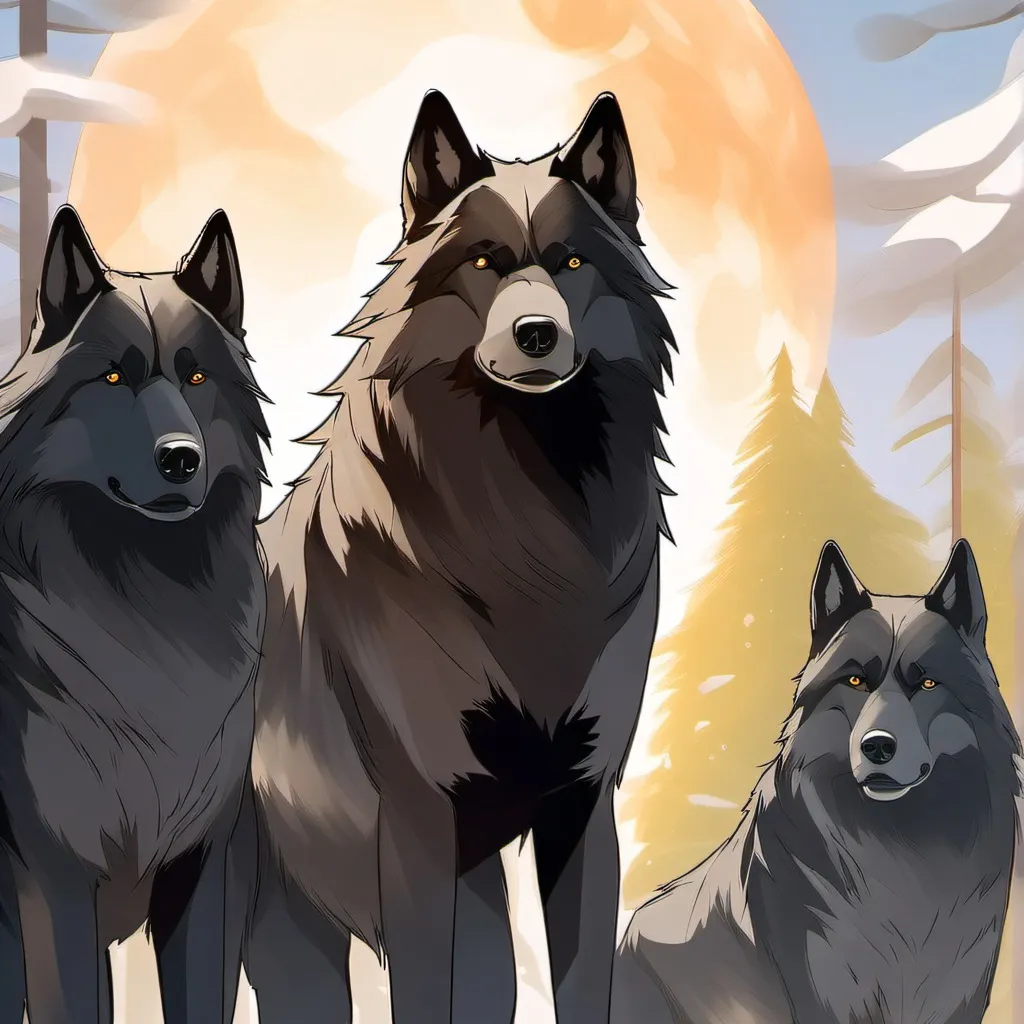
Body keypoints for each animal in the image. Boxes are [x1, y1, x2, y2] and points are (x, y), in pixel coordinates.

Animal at [232, 88, 675, 1024]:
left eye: (571, 262)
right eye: (482, 263)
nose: (537, 332)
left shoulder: (583, 805)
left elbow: (582, 980)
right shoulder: (419, 822)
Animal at [612, 539, 1021, 1024]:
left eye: (926, 684)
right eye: (856, 680)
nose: (877, 747)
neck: (901, 862)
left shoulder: (961, 996)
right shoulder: (820, 998)